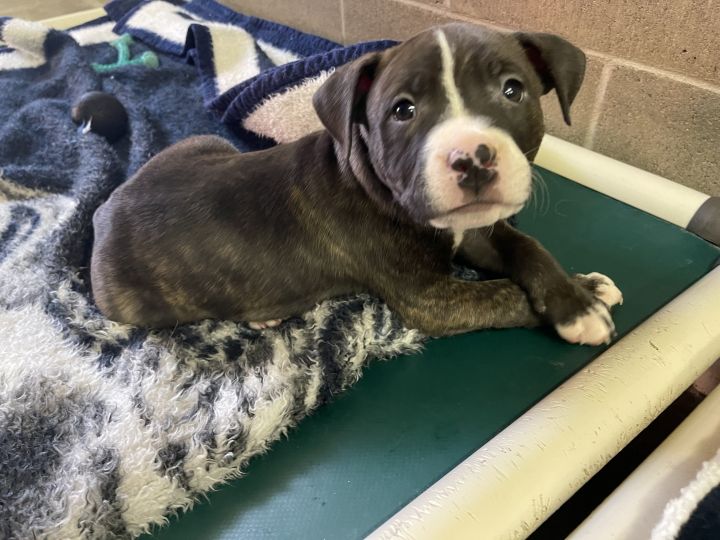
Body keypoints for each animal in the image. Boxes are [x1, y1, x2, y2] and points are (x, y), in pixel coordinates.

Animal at [93, 23, 624, 344]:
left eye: (513, 90)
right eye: (403, 110)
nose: (472, 158)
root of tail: (103, 210)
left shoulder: (474, 229)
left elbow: (526, 247)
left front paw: (578, 292)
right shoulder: (432, 299)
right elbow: (503, 293)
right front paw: (582, 309)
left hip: (200, 144)